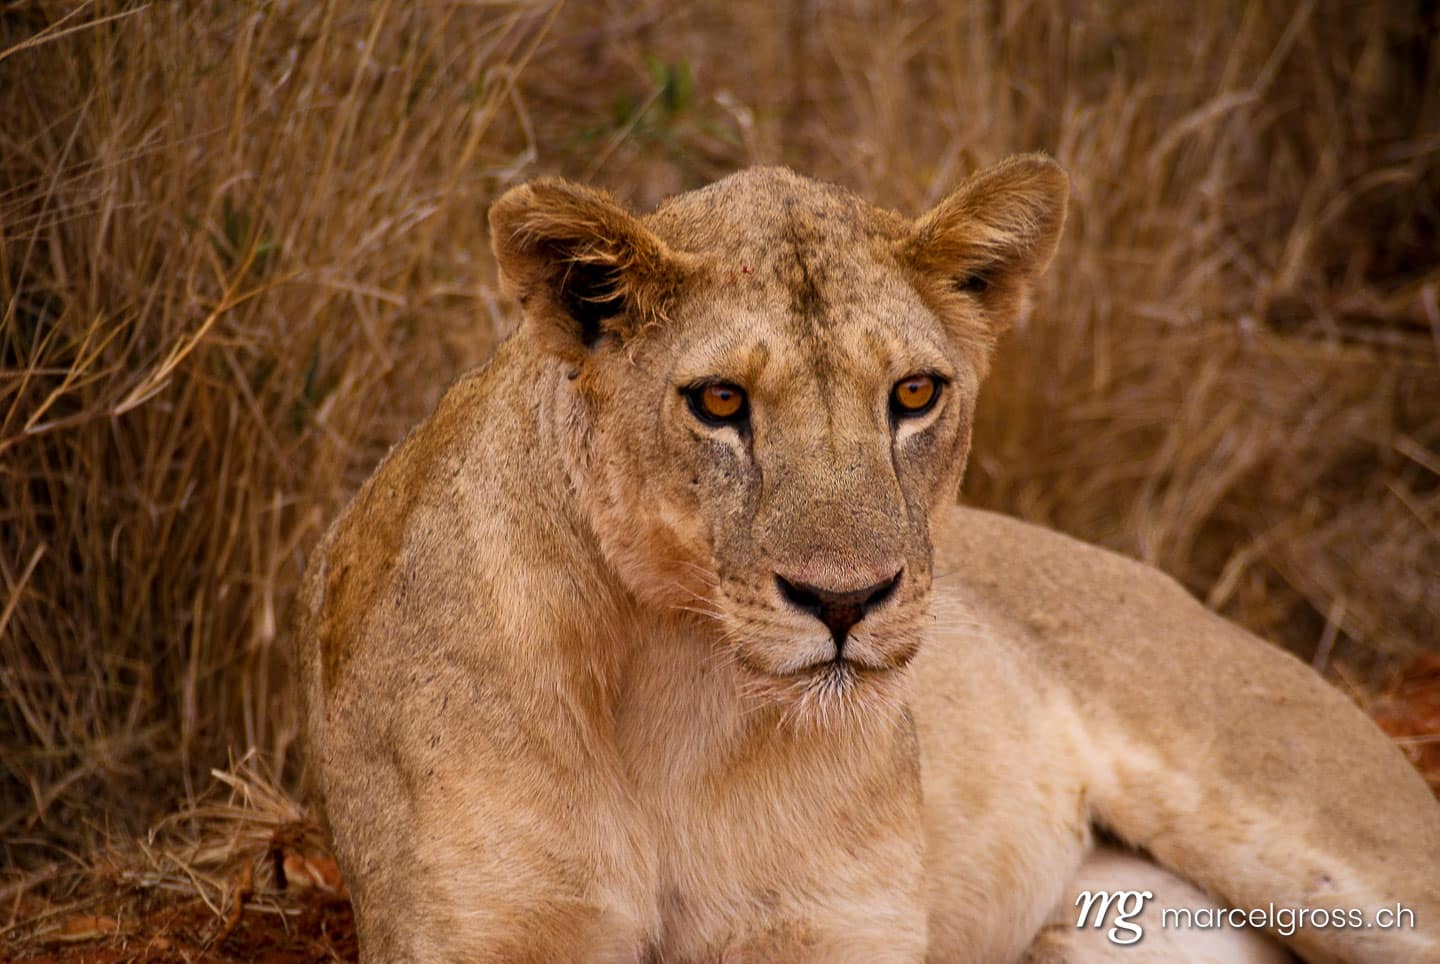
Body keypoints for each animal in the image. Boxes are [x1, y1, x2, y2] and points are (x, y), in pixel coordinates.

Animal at [296, 155, 1440, 962]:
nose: (845, 602)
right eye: (720, 401)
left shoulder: (830, 922)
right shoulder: (487, 928)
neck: (674, 677)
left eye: (915, 394)